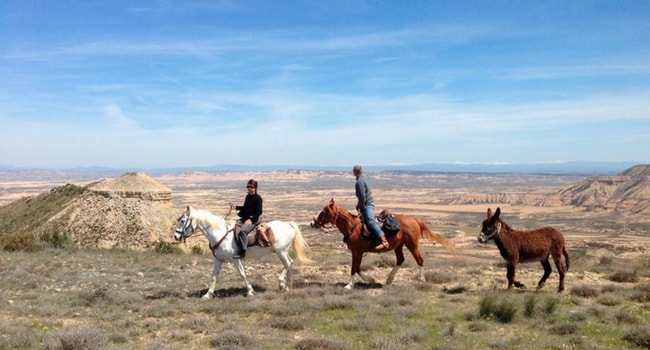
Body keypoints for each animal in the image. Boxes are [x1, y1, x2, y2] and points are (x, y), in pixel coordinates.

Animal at [173, 205, 310, 298]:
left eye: (183, 221)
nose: (176, 236)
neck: (220, 234)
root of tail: (288, 224)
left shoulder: (235, 259)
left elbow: (242, 274)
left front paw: (250, 291)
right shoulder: (218, 259)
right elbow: (213, 276)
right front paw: (207, 294)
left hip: (281, 251)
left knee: (288, 263)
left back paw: (282, 284)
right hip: (283, 252)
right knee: (289, 263)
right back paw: (288, 286)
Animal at [310, 198, 456, 288]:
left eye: (324, 211)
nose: (312, 222)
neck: (353, 227)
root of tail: (414, 219)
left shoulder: (357, 252)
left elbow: (354, 268)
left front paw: (349, 285)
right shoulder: (358, 252)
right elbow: (357, 268)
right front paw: (370, 280)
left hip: (412, 245)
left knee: (419, 260)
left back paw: (421, 281)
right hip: (398, 246)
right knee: (400, 259)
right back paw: (389, 279)